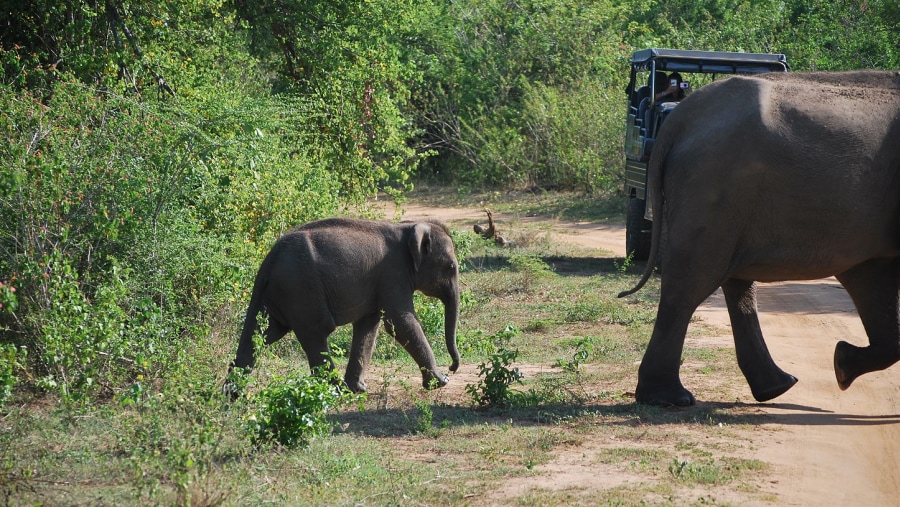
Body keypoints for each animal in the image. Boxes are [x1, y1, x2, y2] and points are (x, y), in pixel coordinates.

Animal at [225, 217, 464, 396]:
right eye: (451, 267)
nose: (452, 368)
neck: (408, 227)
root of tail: (269, 260)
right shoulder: (393, 275)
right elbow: (399, 322)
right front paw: (440, 382)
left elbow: (368, 326)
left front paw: (359, 388)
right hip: (301, 289)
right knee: (315, 332)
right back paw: (336, 390)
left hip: (278, 292)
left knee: (260, 334)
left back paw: (232, 395)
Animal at [624, 70, 900, 408]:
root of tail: (681, 118)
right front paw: (842, 365)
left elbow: (873, 278)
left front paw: (842, 364)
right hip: (713, 188)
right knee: (690, 282)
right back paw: (671, 398)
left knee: (733, 283)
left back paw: (779, 386)